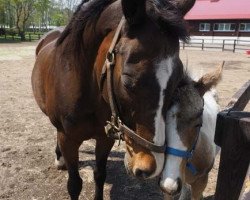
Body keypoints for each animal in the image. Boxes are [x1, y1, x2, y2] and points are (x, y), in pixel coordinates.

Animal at [31, 0, 195, 198]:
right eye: (127, 81)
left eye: (177, 80)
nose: (150, 167)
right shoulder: (68, 140)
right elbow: (74, 184)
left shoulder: (104, 138)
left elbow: (100, 175)